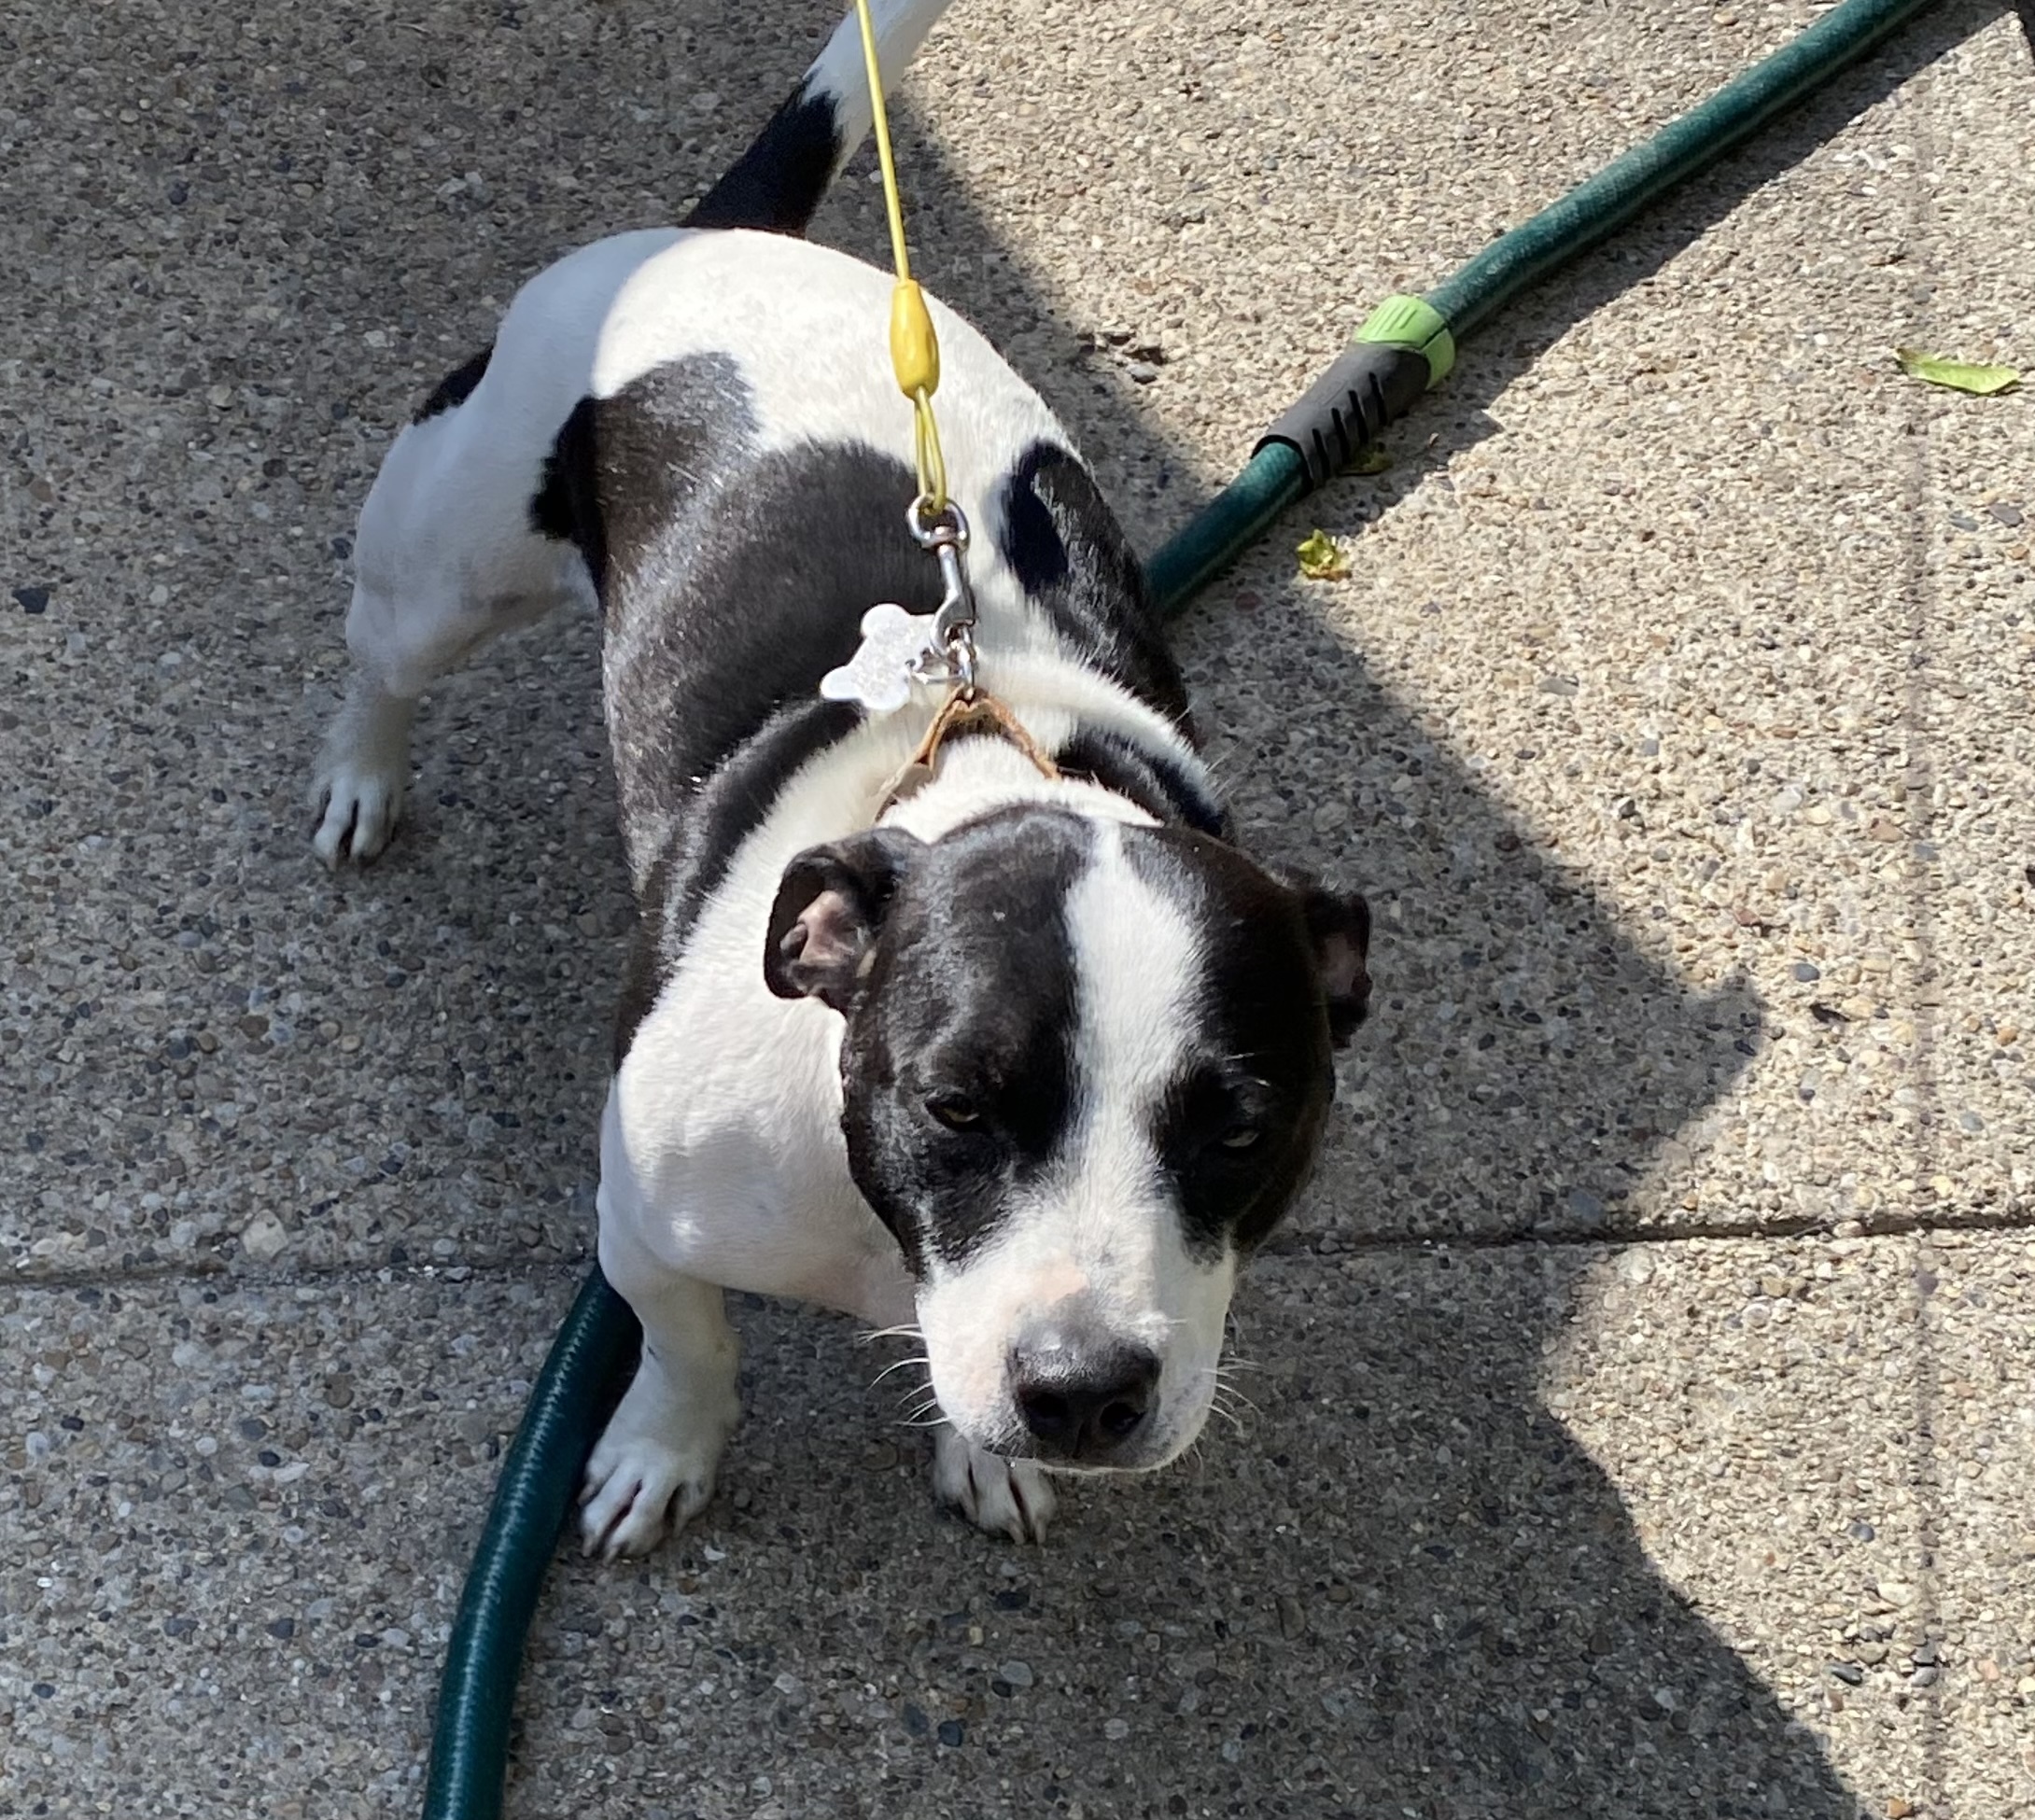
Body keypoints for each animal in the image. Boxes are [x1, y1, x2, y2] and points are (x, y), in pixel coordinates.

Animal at [313, 0, 1367, 1563]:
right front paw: (663, 1449)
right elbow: (687, 1341)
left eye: (1242, 1121)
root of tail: (715, 238)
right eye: (958, 1104)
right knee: (384, 661)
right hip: (442, 563)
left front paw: (978, 1452)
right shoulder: (640, 1213)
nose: (1082, 1391)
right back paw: (362, 774)